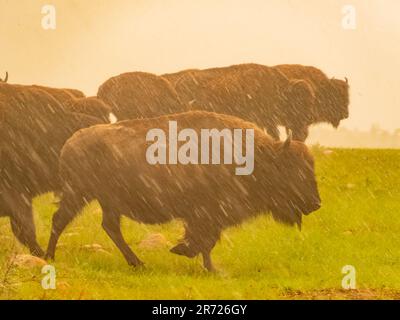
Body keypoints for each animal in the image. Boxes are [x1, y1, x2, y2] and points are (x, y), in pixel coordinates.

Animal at [46, 110, 322, 270]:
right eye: (294, 169)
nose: (316, 203)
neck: (257, 156)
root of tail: (70, 143)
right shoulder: (205, 214)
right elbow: (204, 240)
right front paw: (189, 255)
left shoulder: (209, 217)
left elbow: (207, 241)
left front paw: (203, 264)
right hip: (78, 193)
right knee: (60, 221)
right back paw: (49, 257)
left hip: (105, 201)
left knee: (110, 227)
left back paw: (138, 263)